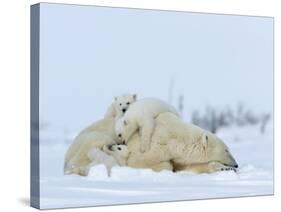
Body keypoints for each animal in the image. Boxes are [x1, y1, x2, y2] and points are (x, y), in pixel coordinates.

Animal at [63, 112, 236, 175]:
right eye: (227, 150)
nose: (236, 165)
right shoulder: (148, 144)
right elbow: (141, 161)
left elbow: (191, 166)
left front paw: (222, 168)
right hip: (92, 139)